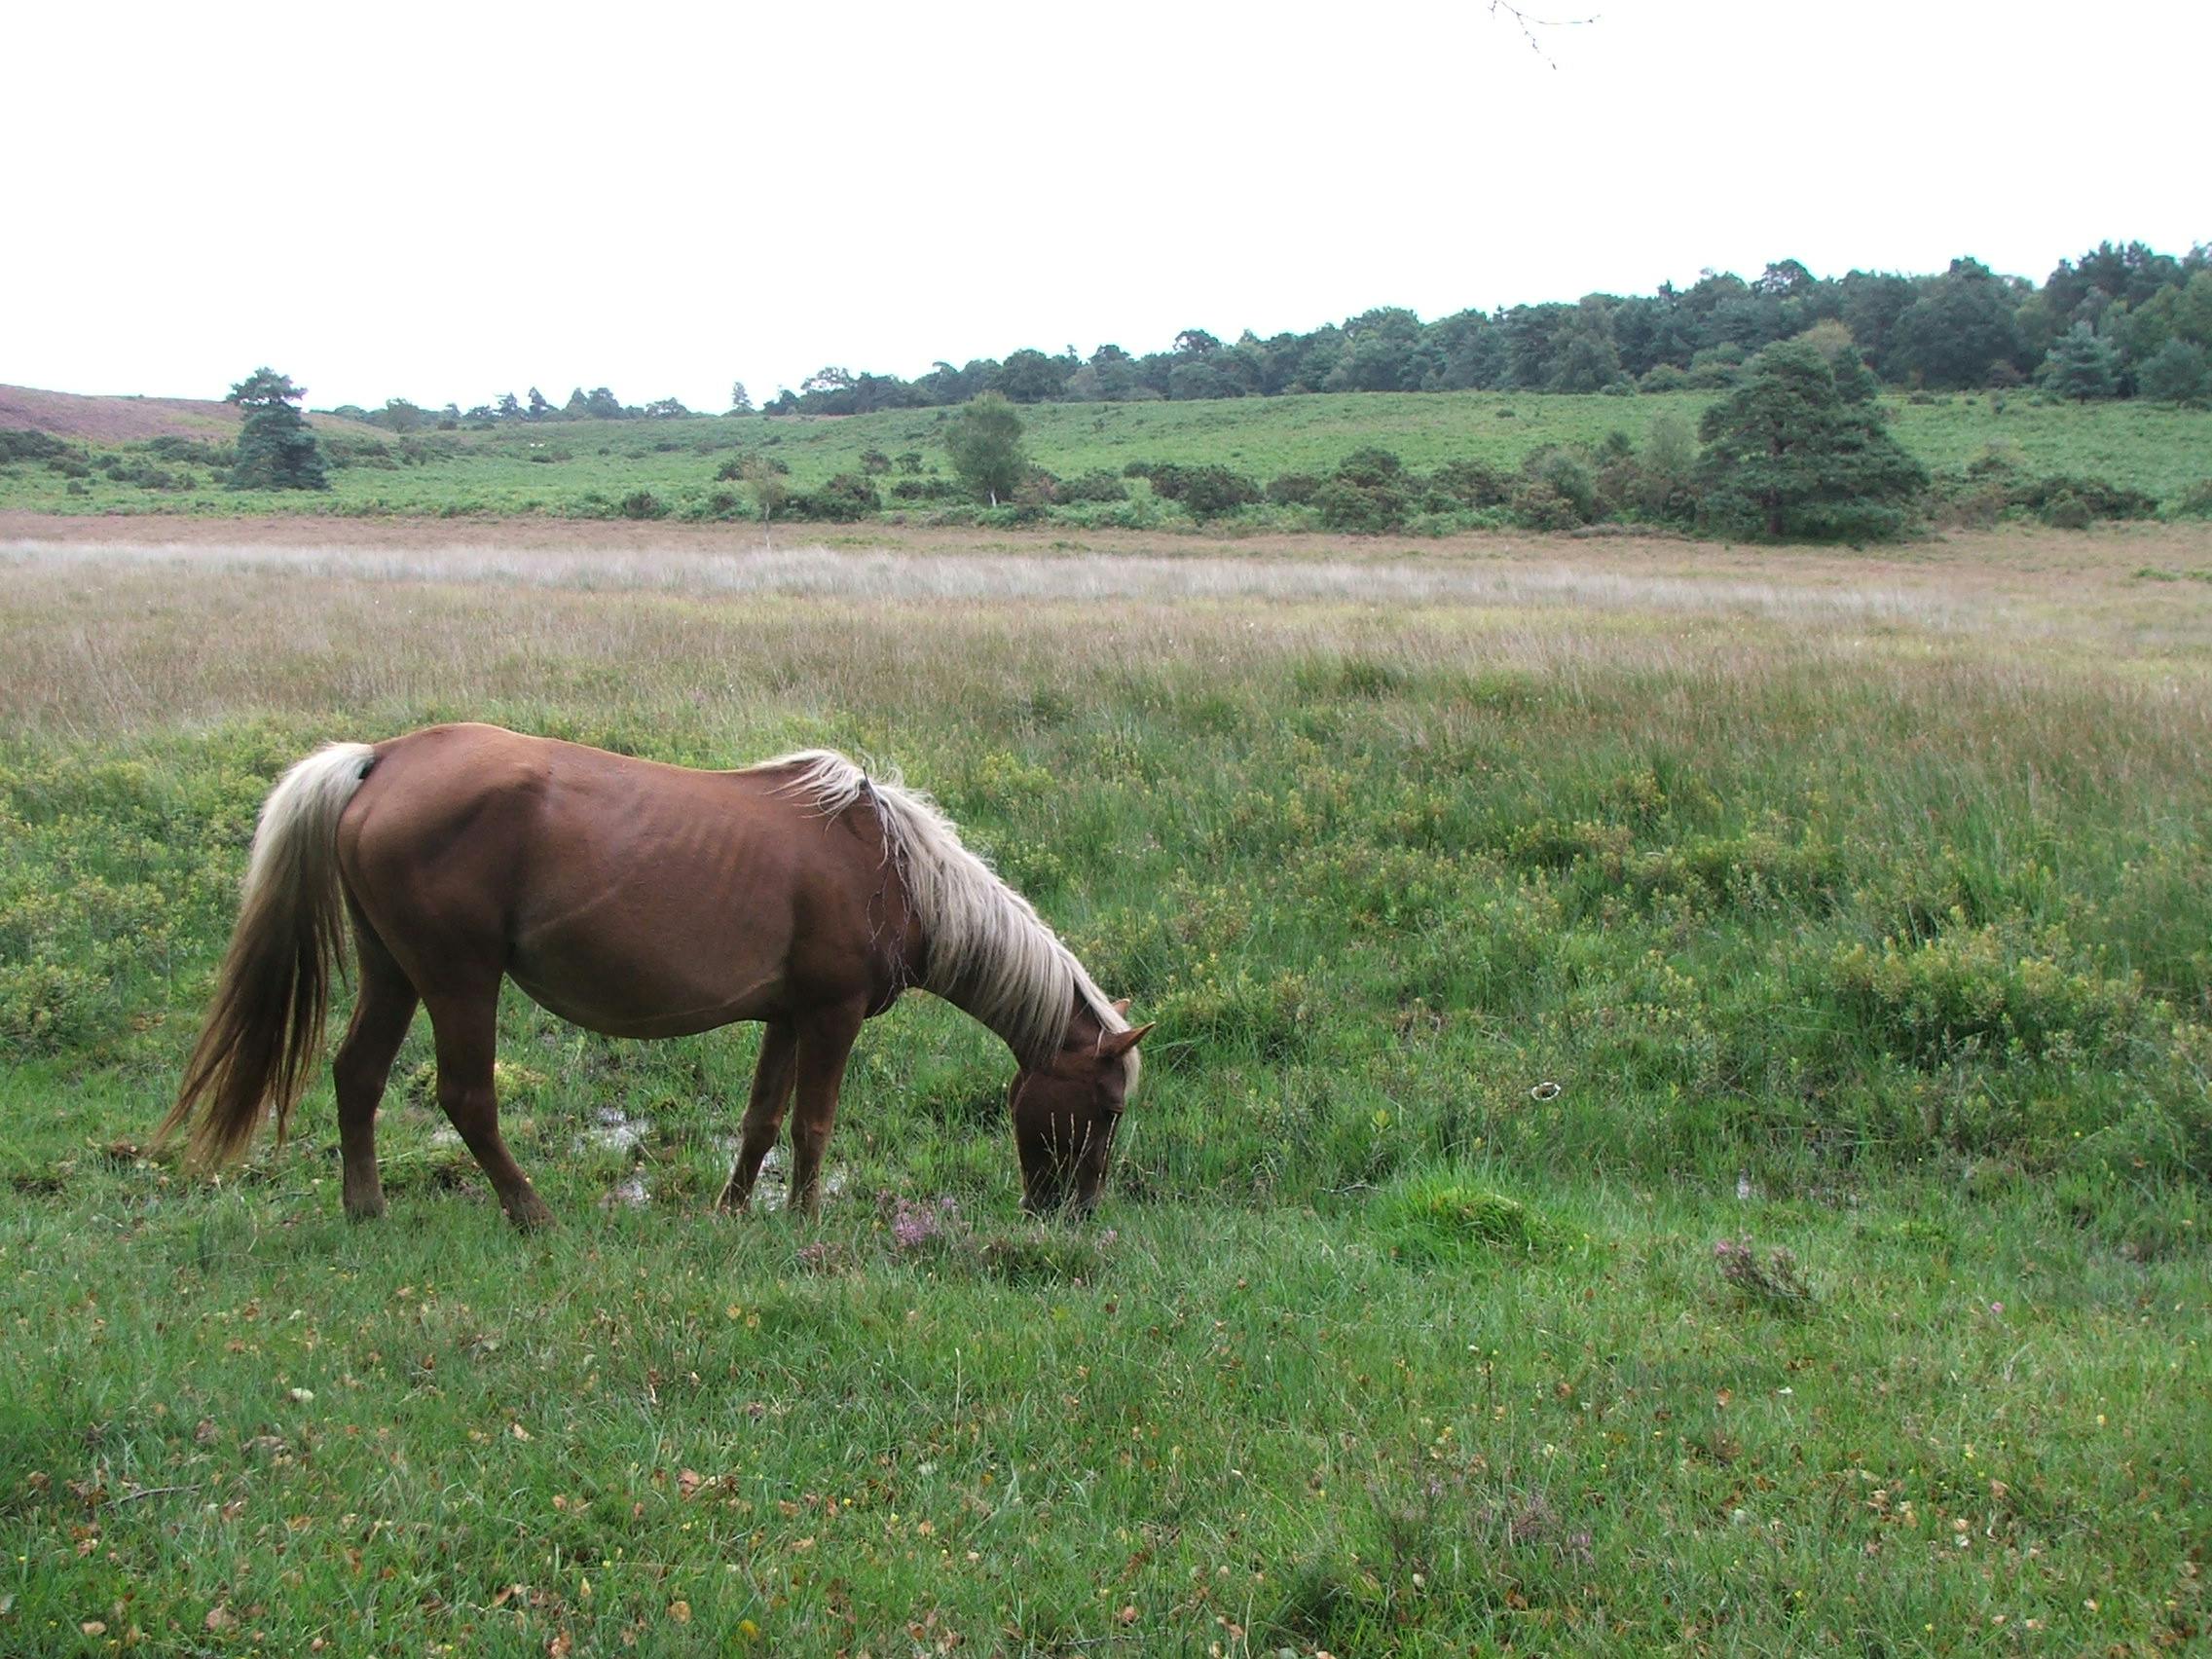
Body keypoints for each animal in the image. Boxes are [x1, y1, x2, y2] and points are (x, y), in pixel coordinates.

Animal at [161, 720, 1150, 1230]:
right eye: (1104, 1109)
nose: (1072, 1212)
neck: (893, 873)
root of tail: (385, 757)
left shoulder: (787, 1016)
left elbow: (760, 1120)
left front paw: (732, 1209)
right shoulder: (831, 1016)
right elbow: (815, 1123)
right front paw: (805, 1223)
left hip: (393, 971)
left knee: (358, 1075)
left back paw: (365, 1208)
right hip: (457, 980)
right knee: (466, 1099)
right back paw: (532, 1214)